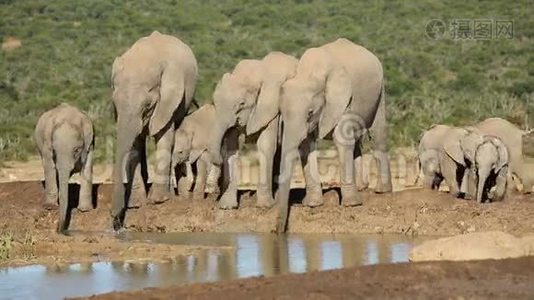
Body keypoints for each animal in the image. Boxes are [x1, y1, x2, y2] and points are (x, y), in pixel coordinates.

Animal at [34, 103, 94, 232]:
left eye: (76, 150)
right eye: (54, 151)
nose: (58, 230)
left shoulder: (90, 144)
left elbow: (87, 168)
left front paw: (85, 210)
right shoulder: (47, 143)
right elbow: (49, 166)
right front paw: (50, 207)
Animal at [111, 31, 199, 230]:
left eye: (148, 106)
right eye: (115, 105)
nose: (116, 222)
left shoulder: (167, 100)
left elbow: (164, 135)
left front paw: (158, 201)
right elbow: (135, 144)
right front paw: (136, 204)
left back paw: (179, 196)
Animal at [209, 51, 300, 210]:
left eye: (242, 104)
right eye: (214, 103)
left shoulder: (271, 107)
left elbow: (266, 145)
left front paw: (265, 206)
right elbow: (232, 147)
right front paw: (227, 207)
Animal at [276, 38, 394, 233]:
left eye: (310, 113)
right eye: (281, 114)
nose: (279, 230)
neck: (310, 72)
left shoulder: (342, 98)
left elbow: (342, 139)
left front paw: (352, 205)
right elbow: (307, 146)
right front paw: (313, 204)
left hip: (380, 91)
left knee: (377, 134)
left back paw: (382, 191)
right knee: (357, 141)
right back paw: (361, 188)